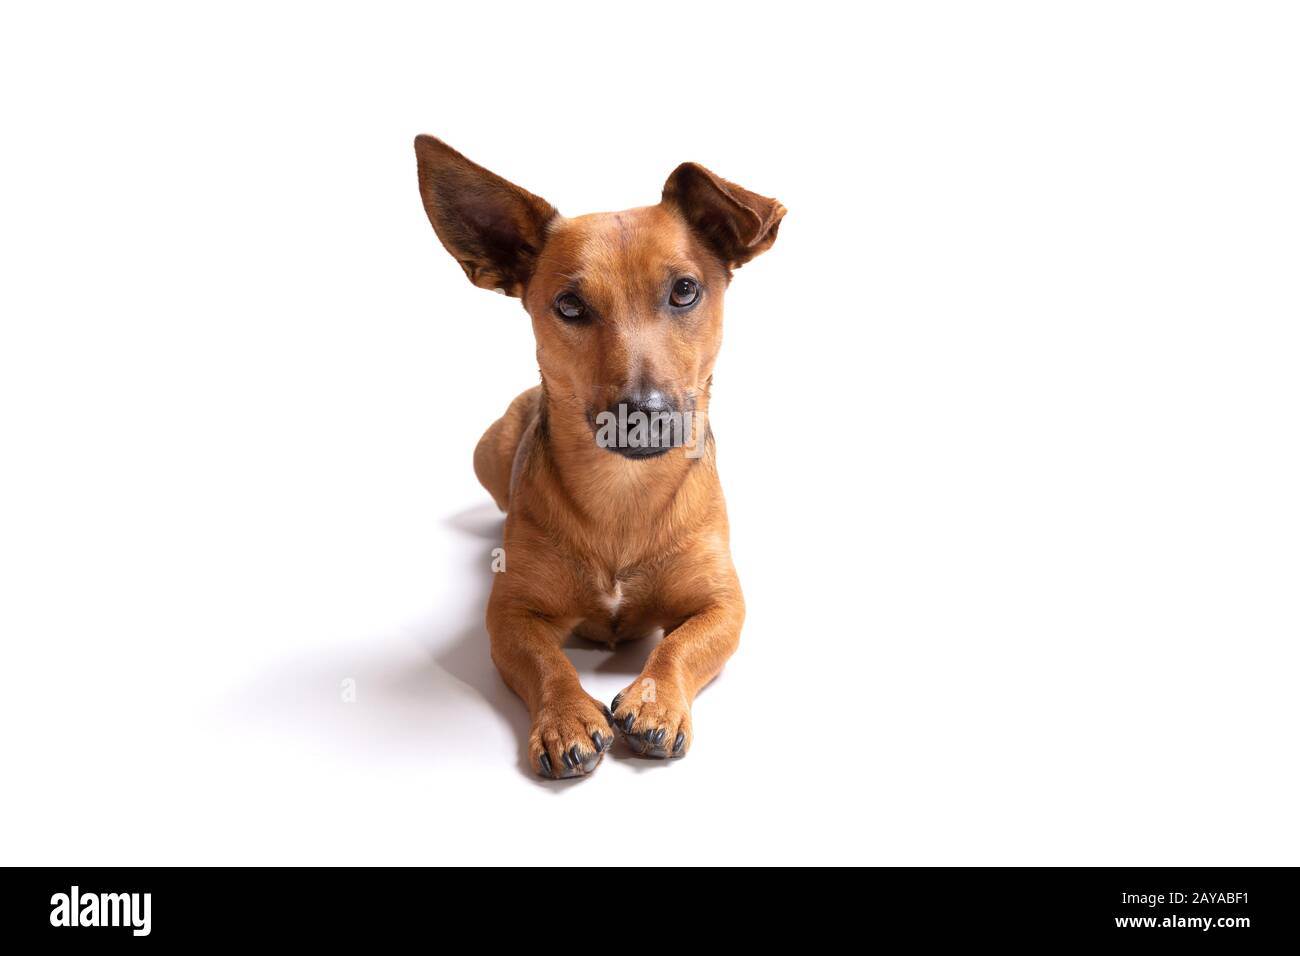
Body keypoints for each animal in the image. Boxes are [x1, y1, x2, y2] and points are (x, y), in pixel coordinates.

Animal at [416, 134, 780, 780]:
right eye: (569, 305)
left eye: (684, 290)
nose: (644, 411)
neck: (623, 491)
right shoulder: (509, 614)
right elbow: (546, 661)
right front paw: (566, 715)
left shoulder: (723, 602)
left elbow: (681, 644)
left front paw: (656, 699)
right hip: (487, 451)